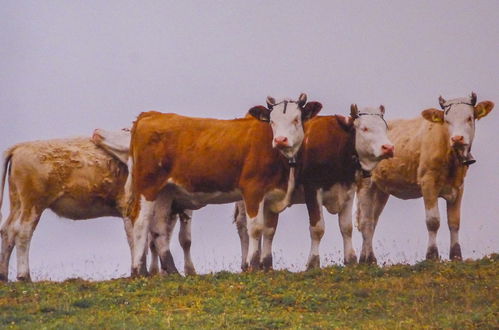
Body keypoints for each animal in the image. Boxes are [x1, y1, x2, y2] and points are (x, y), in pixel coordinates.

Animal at [92, 127, 195, 274]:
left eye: (125, 129)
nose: (96, 130)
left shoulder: (185, 205)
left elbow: (185, 240)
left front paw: (190, 270)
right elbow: (152, 240)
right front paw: (154, 271)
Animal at [128, 93, 324, 276]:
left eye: (296, 119)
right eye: (272, 121)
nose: (280, 140)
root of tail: (151, 114)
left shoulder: (272, 195)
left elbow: (269, 230)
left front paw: (267, 267)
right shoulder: (252, 190)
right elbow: (255, 228)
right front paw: (253, 266)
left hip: (165, 191)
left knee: (159, 228)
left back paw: (173, 271)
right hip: (147, 186)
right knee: (141, 222)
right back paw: (140, 271)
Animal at [234, 104, 394, 270]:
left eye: (385, 127)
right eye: (364, 128)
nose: (388, 147)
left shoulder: (348, 190)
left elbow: (346, 227)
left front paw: (350, 259)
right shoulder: (312, 189)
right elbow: (317, 228)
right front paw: (313, 262)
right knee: (243, 225)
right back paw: (246, 264)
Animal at [358, 93, 494, 262]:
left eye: (469, 118)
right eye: (447, 120)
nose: (457, 138)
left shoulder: (459, 187)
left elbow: (454, 222)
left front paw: (456, 255)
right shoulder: (427, 182)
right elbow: (433, 221)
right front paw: (432, 255)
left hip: (381, 189)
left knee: (372, 221)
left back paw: (368, 258)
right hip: (365, 185)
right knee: (365, 222)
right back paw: (366, 260)